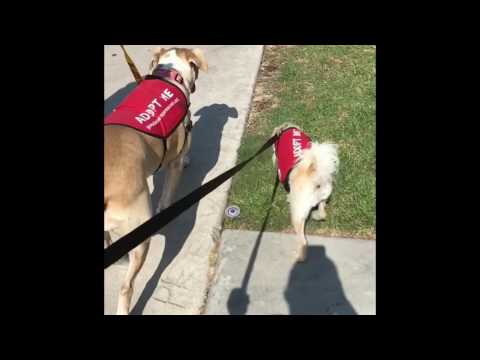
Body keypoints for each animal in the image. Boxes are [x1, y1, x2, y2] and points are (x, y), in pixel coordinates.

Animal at [272, 123, 340, 262]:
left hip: (297, 214)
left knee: (303, 241)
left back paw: (299, 258)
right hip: (323, 196)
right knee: (322, 211)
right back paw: (317, 215)